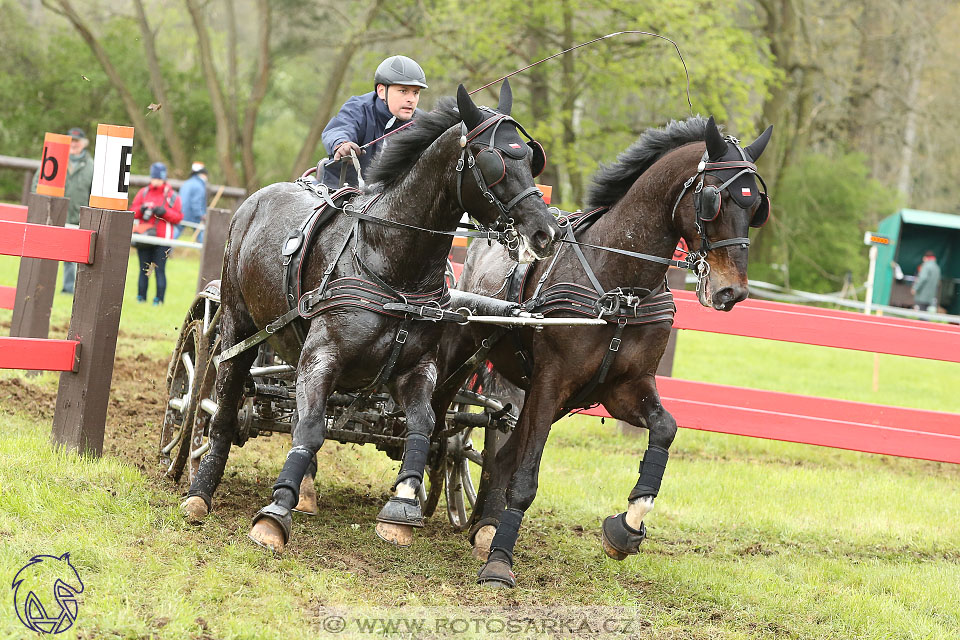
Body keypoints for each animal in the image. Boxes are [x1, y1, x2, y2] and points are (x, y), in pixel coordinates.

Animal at [178, 82, 564, 552]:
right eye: (495, 160)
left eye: (530, 158)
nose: (545, 232)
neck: (391, 264)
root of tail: (254, 199)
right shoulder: (321, 357)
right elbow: (310, 429)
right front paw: (274, 514)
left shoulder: (416, 369)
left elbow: (422, 425)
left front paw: (401, 505)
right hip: (236, 324)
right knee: (224, 401)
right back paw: (199, 489)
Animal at [434, 115, 772, 584]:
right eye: (712, 201)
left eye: (756, 205)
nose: (732, 291)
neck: (619, 287)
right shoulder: (552, 381)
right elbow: (526, 478)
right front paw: (500, 562)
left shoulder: (623, 387)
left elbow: (665, 429)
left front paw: (626, 527)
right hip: (468, 360)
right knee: (439, 416)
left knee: (500, 457)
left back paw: (484, 525)